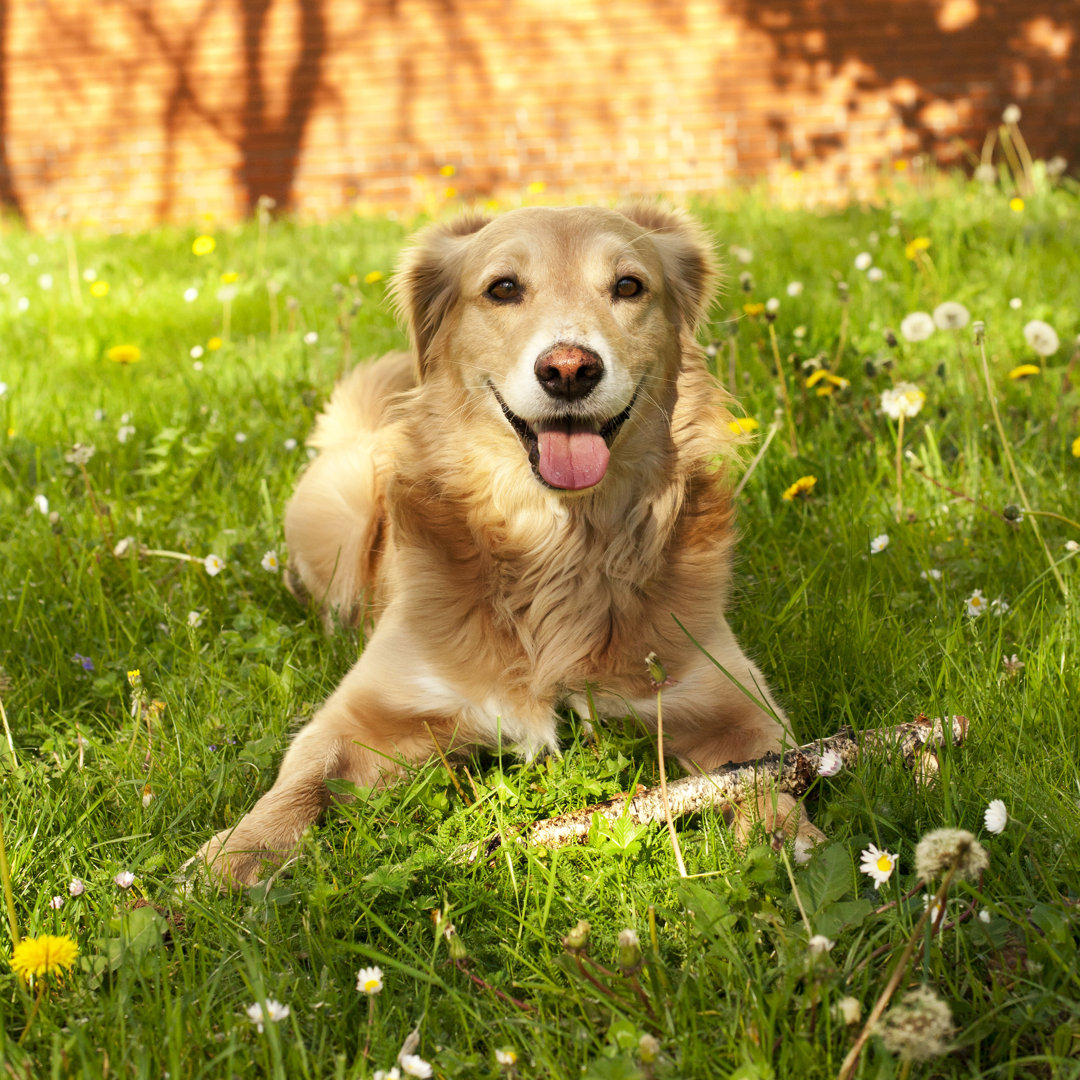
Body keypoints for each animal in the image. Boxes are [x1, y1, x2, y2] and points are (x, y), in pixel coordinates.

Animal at [198, 203, 820, 885]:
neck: (558, 544)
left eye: (629, 285)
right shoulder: (366, 714)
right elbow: (299, 781)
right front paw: (236, 856)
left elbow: (767, 774)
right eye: (503, 288)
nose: (570, 370)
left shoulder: (730, 702)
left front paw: (787, 839)